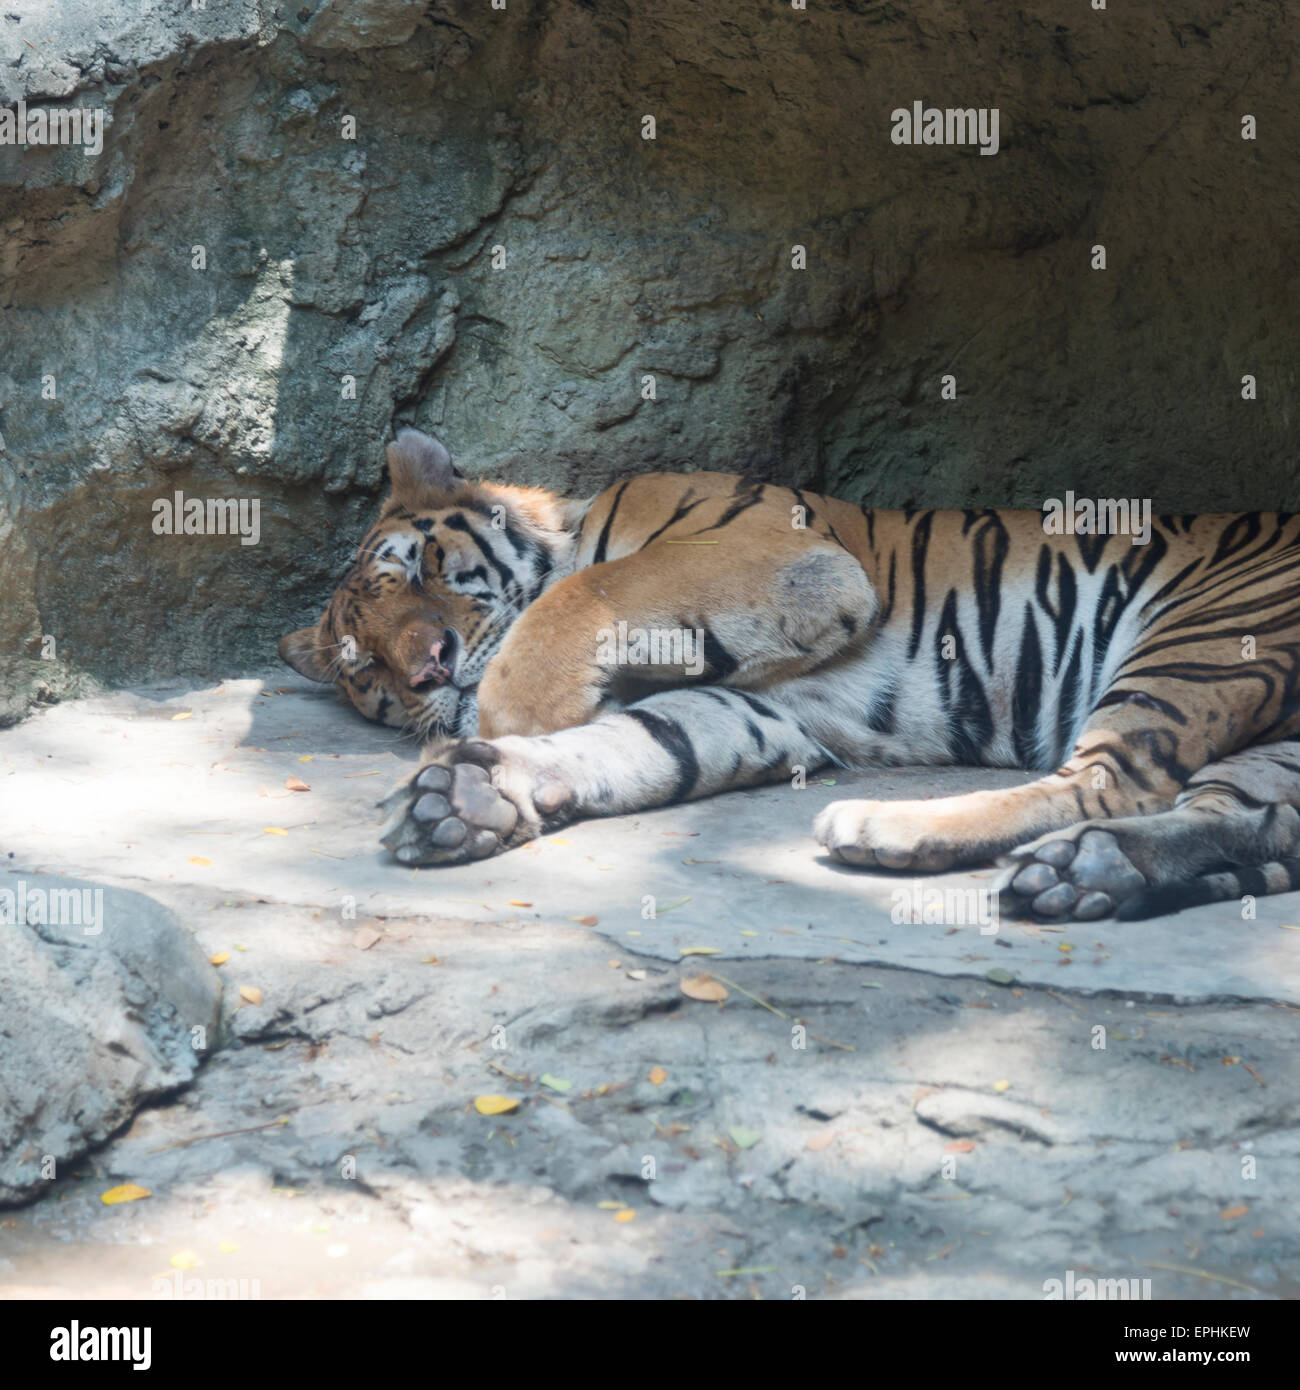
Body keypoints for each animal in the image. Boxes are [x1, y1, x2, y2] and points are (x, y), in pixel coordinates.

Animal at [280, 428, 1300, 922]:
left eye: (421, 568)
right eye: (366, 664)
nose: (429, 670)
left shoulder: (778, 554)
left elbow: (582, 596)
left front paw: (503, 725)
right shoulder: (755, 708)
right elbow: (636, 746)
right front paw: (468, 798)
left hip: (1208, 632)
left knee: (1113, 780)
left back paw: (887, 828)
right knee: (1248, 819)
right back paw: (1090, 874)